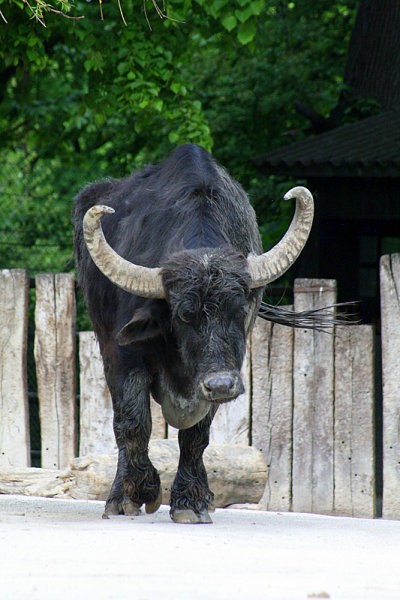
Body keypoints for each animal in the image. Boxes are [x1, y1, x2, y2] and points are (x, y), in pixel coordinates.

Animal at [73, 143, 314, 524]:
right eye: (184, 316)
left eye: (239, 310)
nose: (221, 385)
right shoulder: (122, 355)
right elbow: (134, 423)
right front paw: (134, 494)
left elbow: (196, 434)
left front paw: (191, 501)